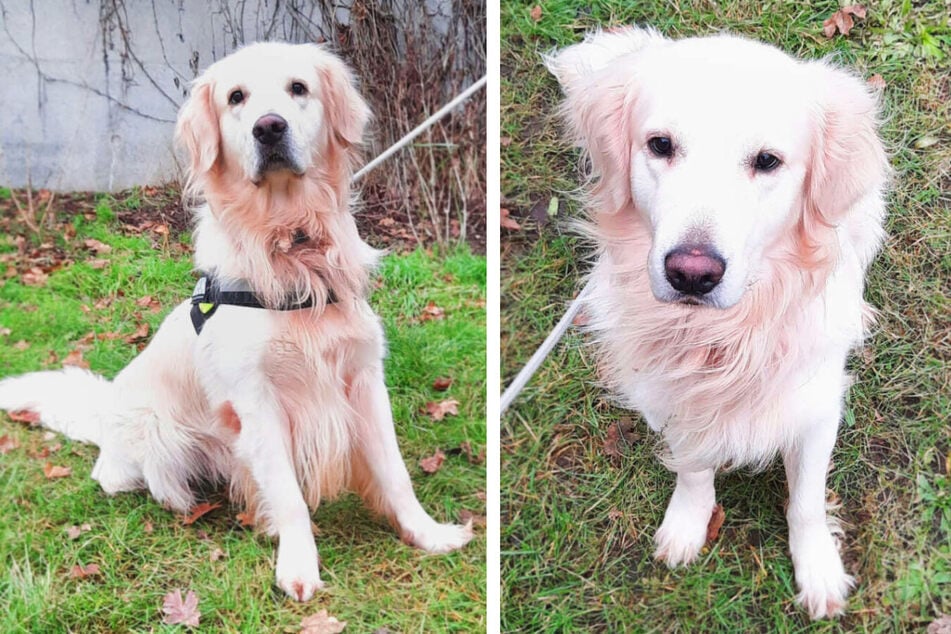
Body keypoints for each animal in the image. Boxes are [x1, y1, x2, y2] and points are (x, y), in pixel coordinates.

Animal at [0, 43, 472, 596]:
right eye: (236, 97)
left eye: (298, 88)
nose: (269, 128)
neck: (291, 248)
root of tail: (107, 409)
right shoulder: (257, 402)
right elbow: (288, 495)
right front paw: (299, 568)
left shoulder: (362, 380)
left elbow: (396, 472)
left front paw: (428, 533)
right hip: (156, 432)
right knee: (120, 476)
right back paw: (177, 498)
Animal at [548, 28, 888, 616]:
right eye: (660, 145)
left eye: (768, 160)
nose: (691, 273)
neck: (722, 338)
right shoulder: (667, 398)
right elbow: (692, 469)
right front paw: (687, 524)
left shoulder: (817, 407)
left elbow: (806, 501)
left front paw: (818, 570)